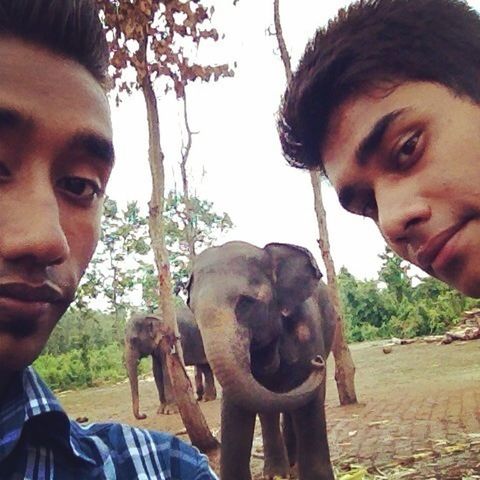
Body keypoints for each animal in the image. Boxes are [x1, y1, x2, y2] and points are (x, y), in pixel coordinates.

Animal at [186, 242, 336, 480]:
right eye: (193, 308)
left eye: (246, 302)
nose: (318, 361)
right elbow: (237, 407)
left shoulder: (308, 329)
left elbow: (309, 407)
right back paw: (278, 472)